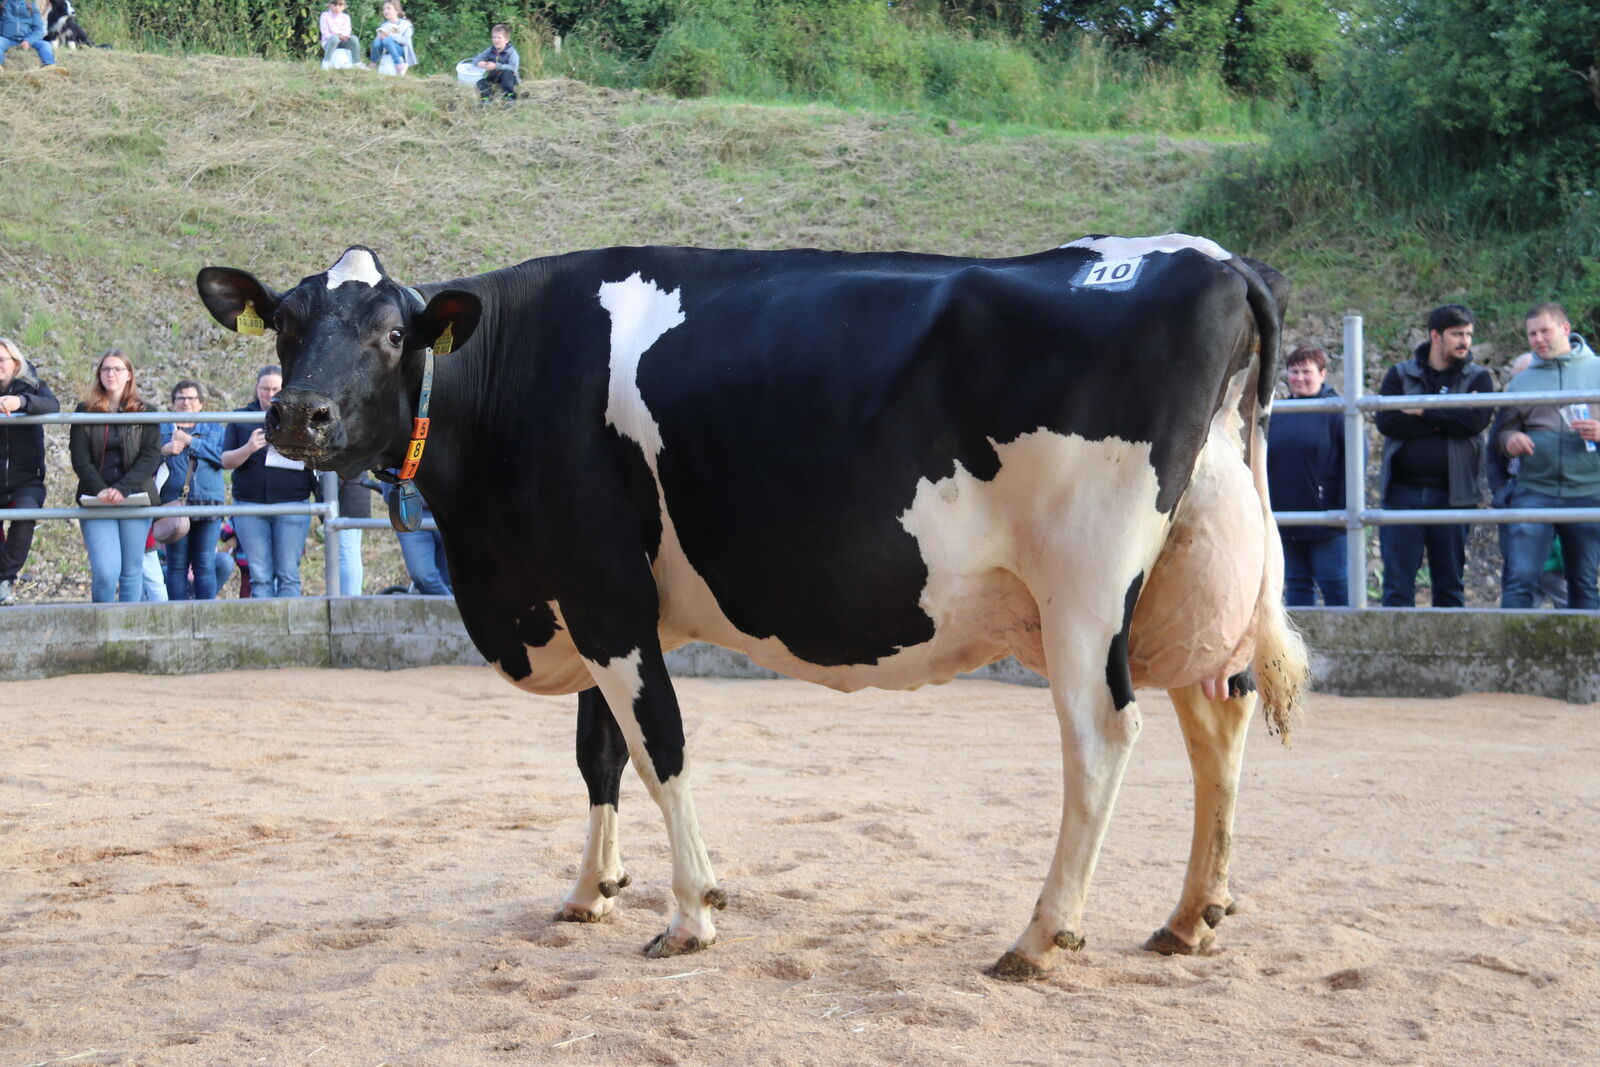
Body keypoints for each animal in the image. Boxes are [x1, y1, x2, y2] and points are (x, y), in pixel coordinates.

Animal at [200, 238, 1305, 979]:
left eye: (392, 334)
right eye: (285, 323)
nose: (298, 414)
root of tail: (1211, 261)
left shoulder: (599, 590)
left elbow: (660, 744)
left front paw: (691, 910)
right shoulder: (601, 596)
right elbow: (600, 752)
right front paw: (590, 890)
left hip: (1085, 582)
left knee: (1101, 733)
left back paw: (1040, 934)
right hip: (1191, 577)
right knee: (1219, 715)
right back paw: (1190, 914)